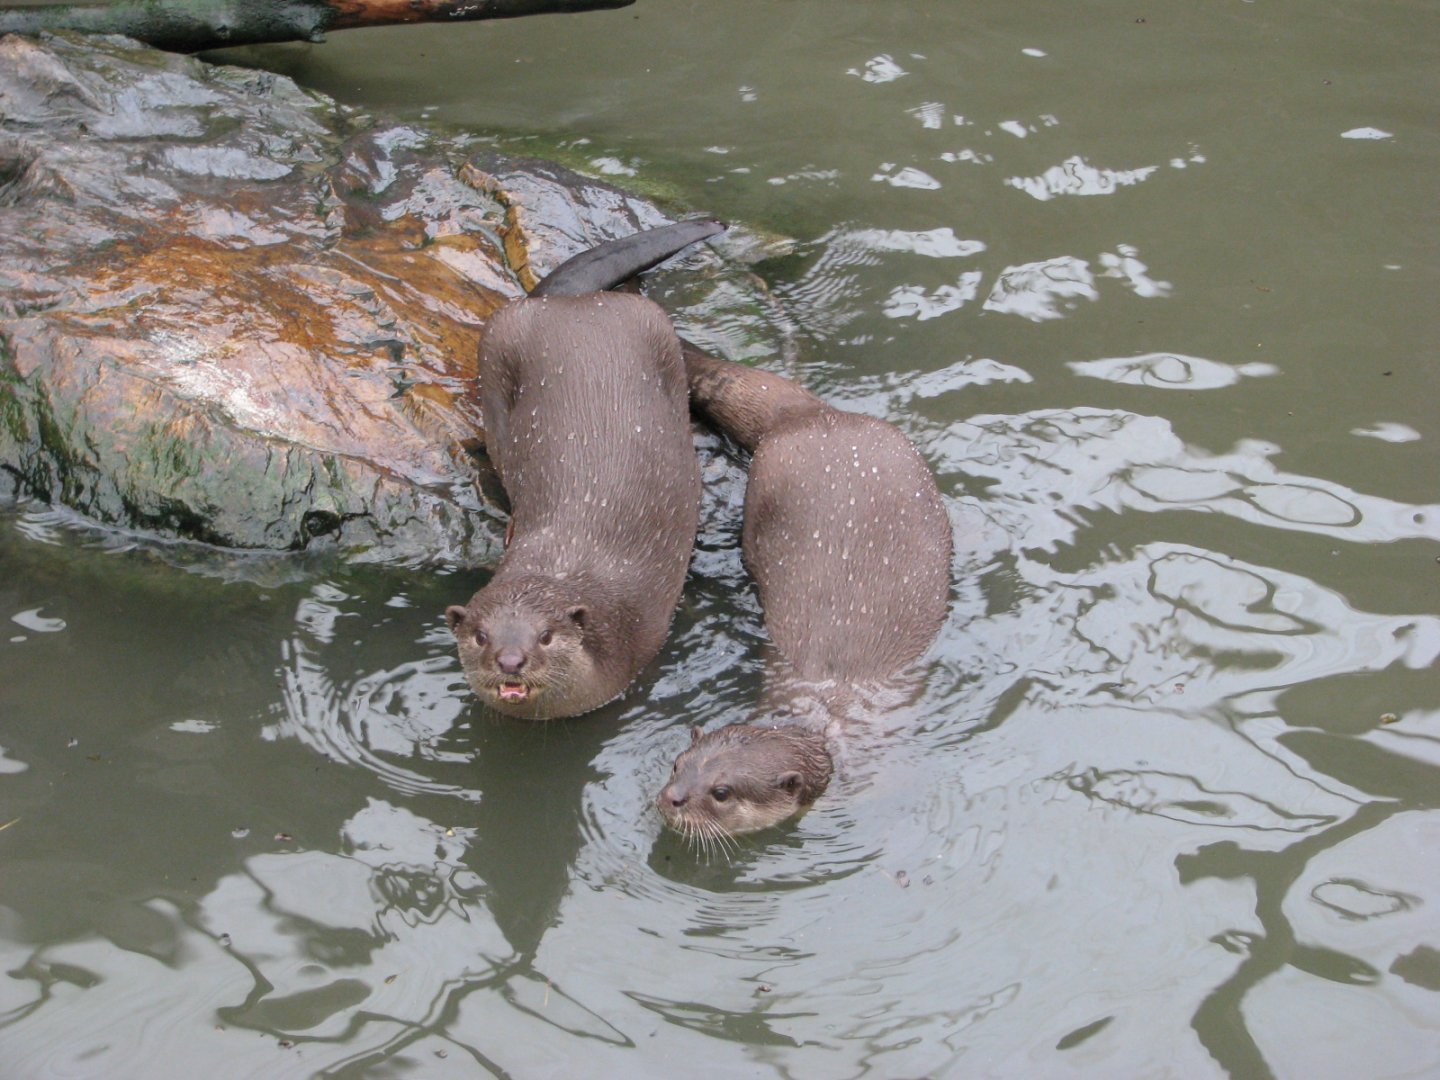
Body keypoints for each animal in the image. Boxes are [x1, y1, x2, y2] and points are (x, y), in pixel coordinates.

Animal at [446, 220, 723, 719]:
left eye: (545, 636)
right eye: (480, 636)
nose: (510, 660)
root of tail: (576, 305)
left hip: (652, 329)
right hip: (501, 338)